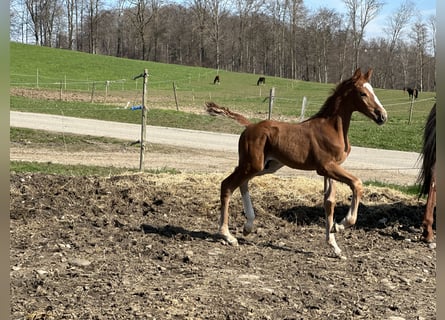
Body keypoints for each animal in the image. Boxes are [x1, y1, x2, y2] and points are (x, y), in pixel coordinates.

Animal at [206, 69, 386, 258]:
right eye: (363, 93)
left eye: (373, 91)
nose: (382, 116)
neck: (332, 128)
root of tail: (249, 126)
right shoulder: (326, 167)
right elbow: (356, 184)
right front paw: (340, 226)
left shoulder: (331, 169)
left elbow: (329, 202)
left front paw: (334, 246)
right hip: (252, 165)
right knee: (227, 185)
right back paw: (227, 235)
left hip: (266, 165)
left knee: (241, 183)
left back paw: (248, 226)